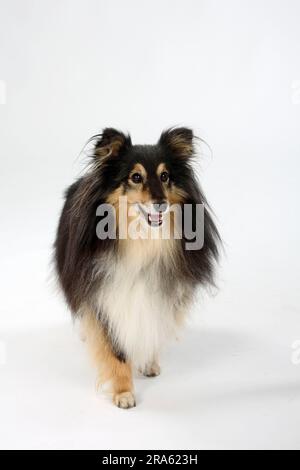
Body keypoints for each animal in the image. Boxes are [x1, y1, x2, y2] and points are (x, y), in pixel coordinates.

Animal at [54, 127, 219, 408]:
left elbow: (153, 325)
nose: (161, 203)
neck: (143, 243)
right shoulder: (104, 300)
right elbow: (115, 350)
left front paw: (149, 362)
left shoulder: (162, 295)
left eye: (165, 176)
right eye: (136, 177)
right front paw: (123, 393)